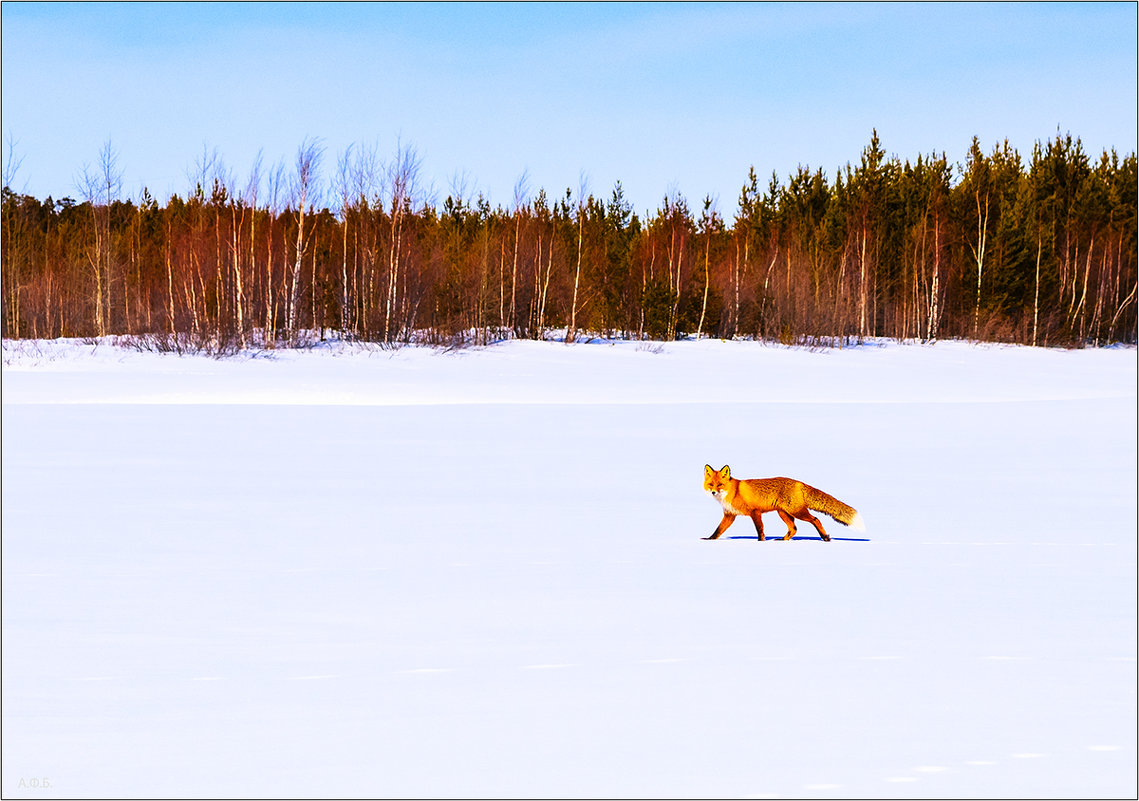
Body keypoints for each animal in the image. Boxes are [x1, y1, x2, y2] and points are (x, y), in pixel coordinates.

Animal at [701, 464, 861, 544]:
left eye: (720, 485)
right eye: (711, 484)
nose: (713, 492)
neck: (734, 492)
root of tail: (799, 482)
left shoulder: (755, 512)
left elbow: (760, 530)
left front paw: (760, 543)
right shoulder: (730, 515)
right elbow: (718, 530)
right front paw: (709, 540)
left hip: (797, 512)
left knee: (815, 519)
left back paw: (825, 537)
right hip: (783, 513)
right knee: (794, 529)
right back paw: (782, 540)